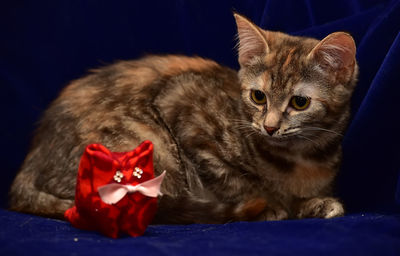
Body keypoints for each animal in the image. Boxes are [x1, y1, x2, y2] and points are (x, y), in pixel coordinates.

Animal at [9, 13, 358, 223]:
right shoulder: (184, 109)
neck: (300, 159)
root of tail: (28, 166)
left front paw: (314, 203)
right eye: (258, 97)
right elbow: (233, 181)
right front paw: (272, 205)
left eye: (299, 102)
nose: (270, 127)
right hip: (147, 140)